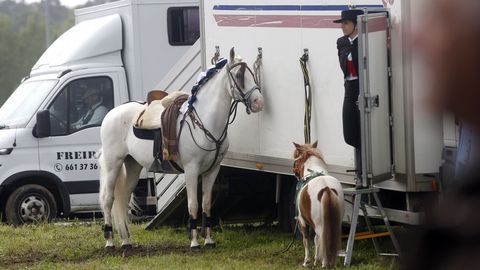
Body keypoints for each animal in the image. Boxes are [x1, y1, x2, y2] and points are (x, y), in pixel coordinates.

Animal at [96, 48, 264, 251]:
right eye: (239, 75)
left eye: (251, 73)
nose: (259, 102)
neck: (205, 122)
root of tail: (112, 113)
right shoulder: (191, 170)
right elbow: (193, 205)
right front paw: (194, 243)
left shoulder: (212, 171)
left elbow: (206, 205)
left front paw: (208, 240)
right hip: (113, 163)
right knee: (108, 199)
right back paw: (109, 242)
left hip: (133, 165)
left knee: (123, 199)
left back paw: (126, 241)